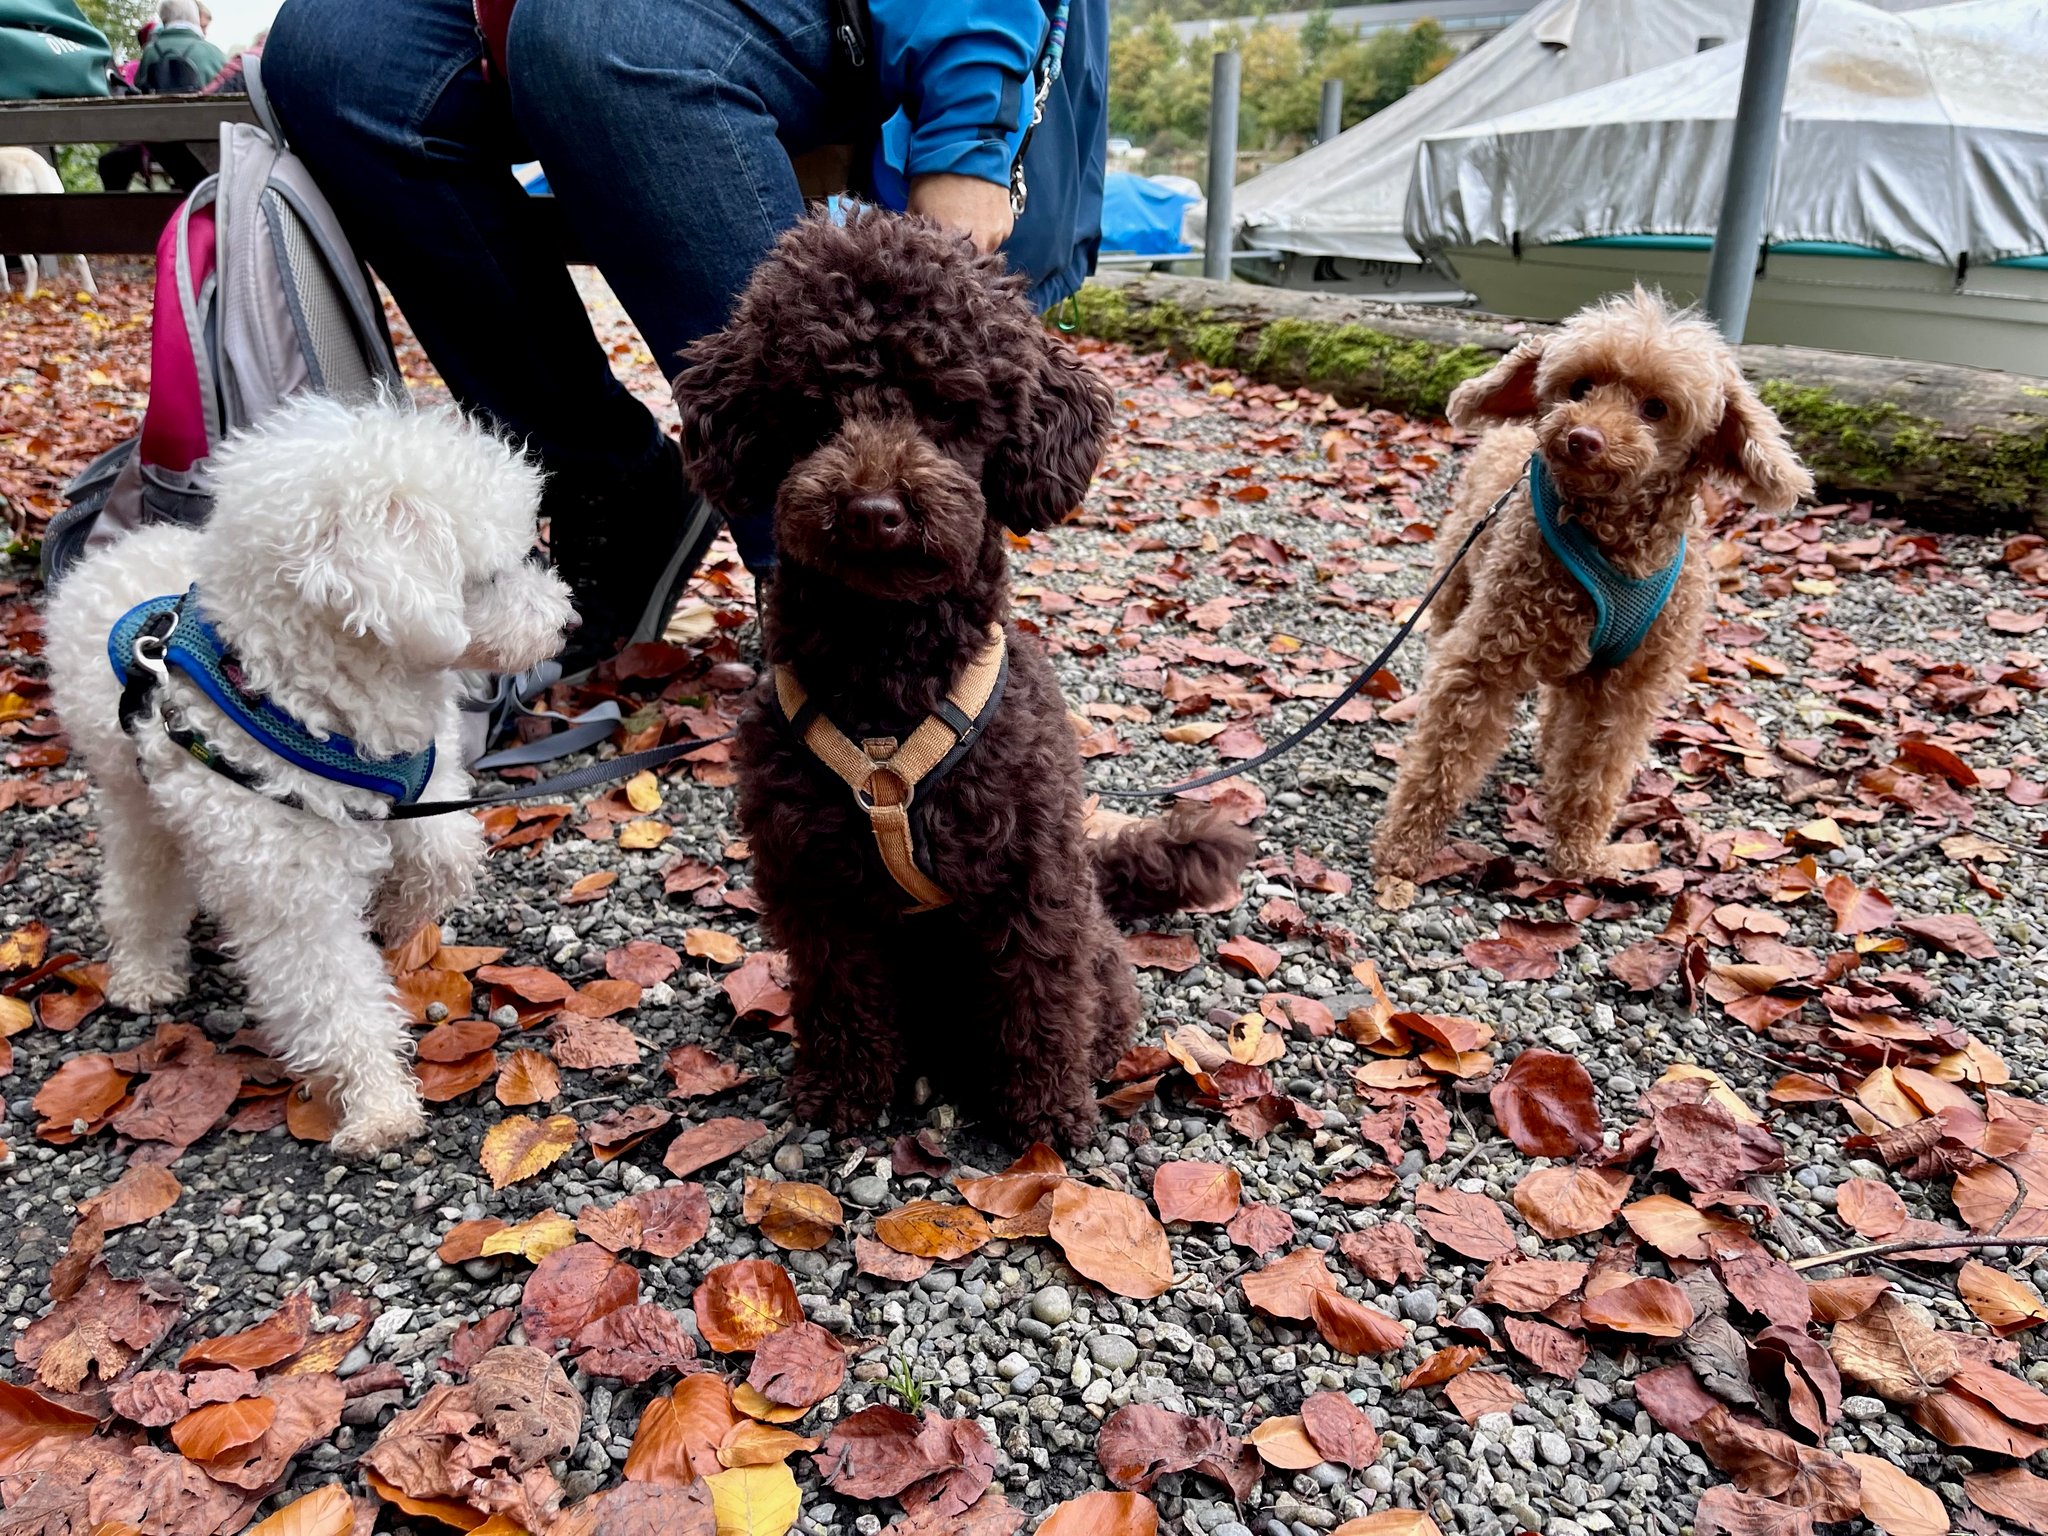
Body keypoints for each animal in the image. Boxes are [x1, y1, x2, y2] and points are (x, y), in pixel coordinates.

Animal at [45, 394, 574, 1155]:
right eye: (494, 575)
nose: (566, 623)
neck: (310, 699)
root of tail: (116, 553)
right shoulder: (292, 900)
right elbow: (335, 999)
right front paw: (378, 1106)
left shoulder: (424, 783)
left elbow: (446, 854)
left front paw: (396, 913)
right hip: (134, 796)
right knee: (139, 885)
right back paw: (144, 971)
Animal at [674, 210, 1254, 1148]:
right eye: (812, 412)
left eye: (948, 409)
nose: (874, 512)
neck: (888, 671)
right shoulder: (815, 880)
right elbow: (841, 991)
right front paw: (843, 1090)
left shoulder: (1030, 875)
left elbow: (1040, 997)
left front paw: (1047, 1113)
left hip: (1092, 944)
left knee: (1092, 1005)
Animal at [1373, 288, 1812, 884]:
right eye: (1579, 386)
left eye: (1655, 408)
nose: (1582, 438)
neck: (1610, 544)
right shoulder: (1484, 658)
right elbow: (1442, 759)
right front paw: (1404, 849)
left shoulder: (1625, 689)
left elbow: (1595, 775)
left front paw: (1578, 856)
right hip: (1458, 580)